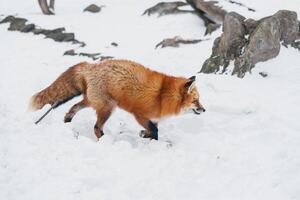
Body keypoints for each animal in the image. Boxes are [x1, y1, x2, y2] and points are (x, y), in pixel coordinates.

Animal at [29, 60, 204, 140]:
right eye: (196, 101)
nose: (204, 109)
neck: (163, 95)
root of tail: (91, 65)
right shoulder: (139, 115)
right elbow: (155, 132)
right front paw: (150, 140)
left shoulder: (153, 119)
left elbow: (152, 130)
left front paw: (143, 135)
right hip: (108, 107)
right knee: (96, 127)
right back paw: (104, 140)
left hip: (93, 101)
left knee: (74, 107)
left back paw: (67, 120)